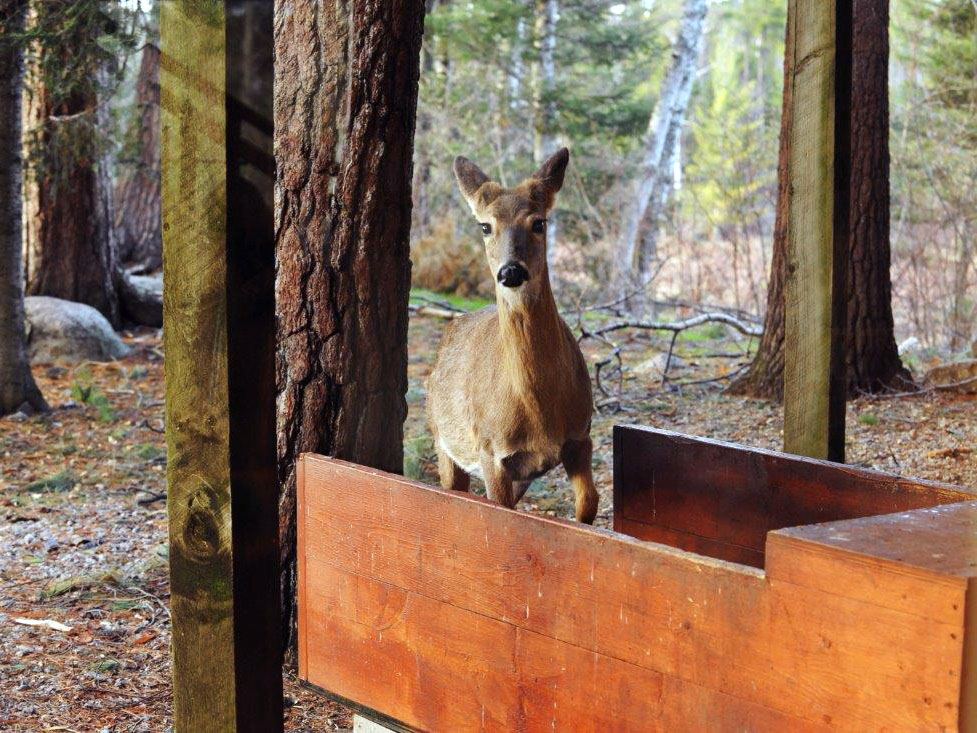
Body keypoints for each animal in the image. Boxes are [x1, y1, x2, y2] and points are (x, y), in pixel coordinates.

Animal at [426, 148, 599, 524]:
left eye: (539, 223)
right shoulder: (491, 451)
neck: (540, 410)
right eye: (485, 226)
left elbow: (588, 505)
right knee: (453, 489)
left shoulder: (581, 435)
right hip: (442, 438)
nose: (511, 271)